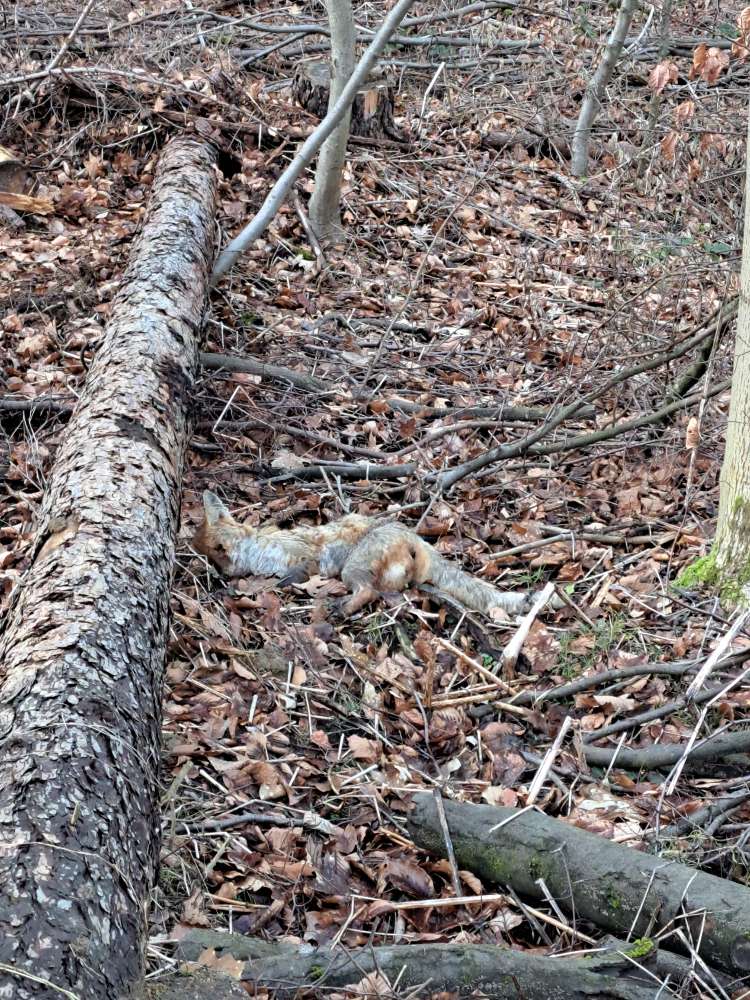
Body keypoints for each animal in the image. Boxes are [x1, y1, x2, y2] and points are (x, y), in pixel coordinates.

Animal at [193, 491, 550, 617]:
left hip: (353, 567)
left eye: (205, 547)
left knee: (367, 592)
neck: (256, 548)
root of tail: (415, 538)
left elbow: (293, 575)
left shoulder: (304, 559)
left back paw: (344, 607)